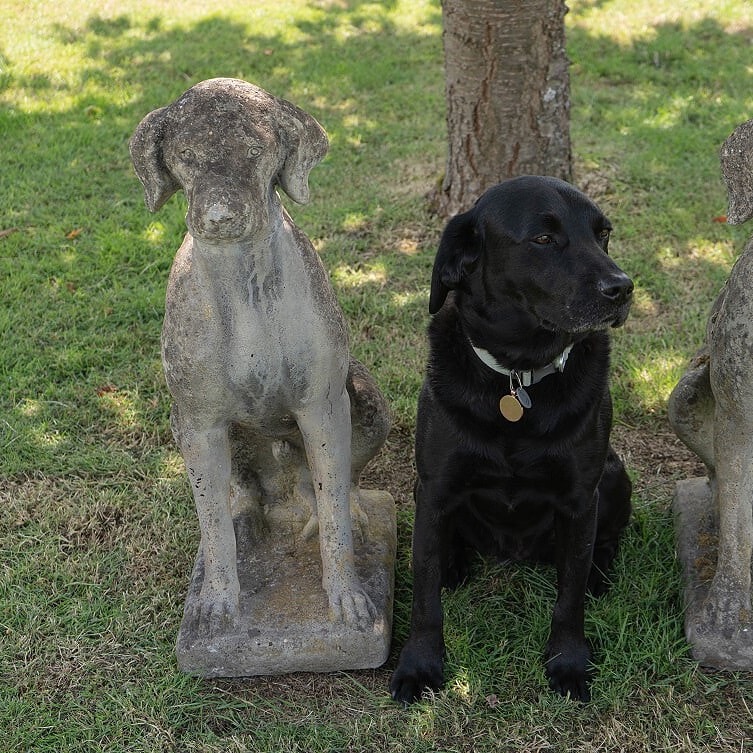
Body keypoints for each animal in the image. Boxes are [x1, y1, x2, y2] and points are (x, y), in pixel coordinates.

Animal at [390, 173, 632, 704]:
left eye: (603, 234)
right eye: (543, 238)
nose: (623, 288)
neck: (518, 375)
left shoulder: (580, 498)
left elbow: (569, 597)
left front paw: (569, 662)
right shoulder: (433, 490)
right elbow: (424, 595)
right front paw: (419, 664)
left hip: (614, 474)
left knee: (600, 547)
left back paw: (600, 575)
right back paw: (454, 565)